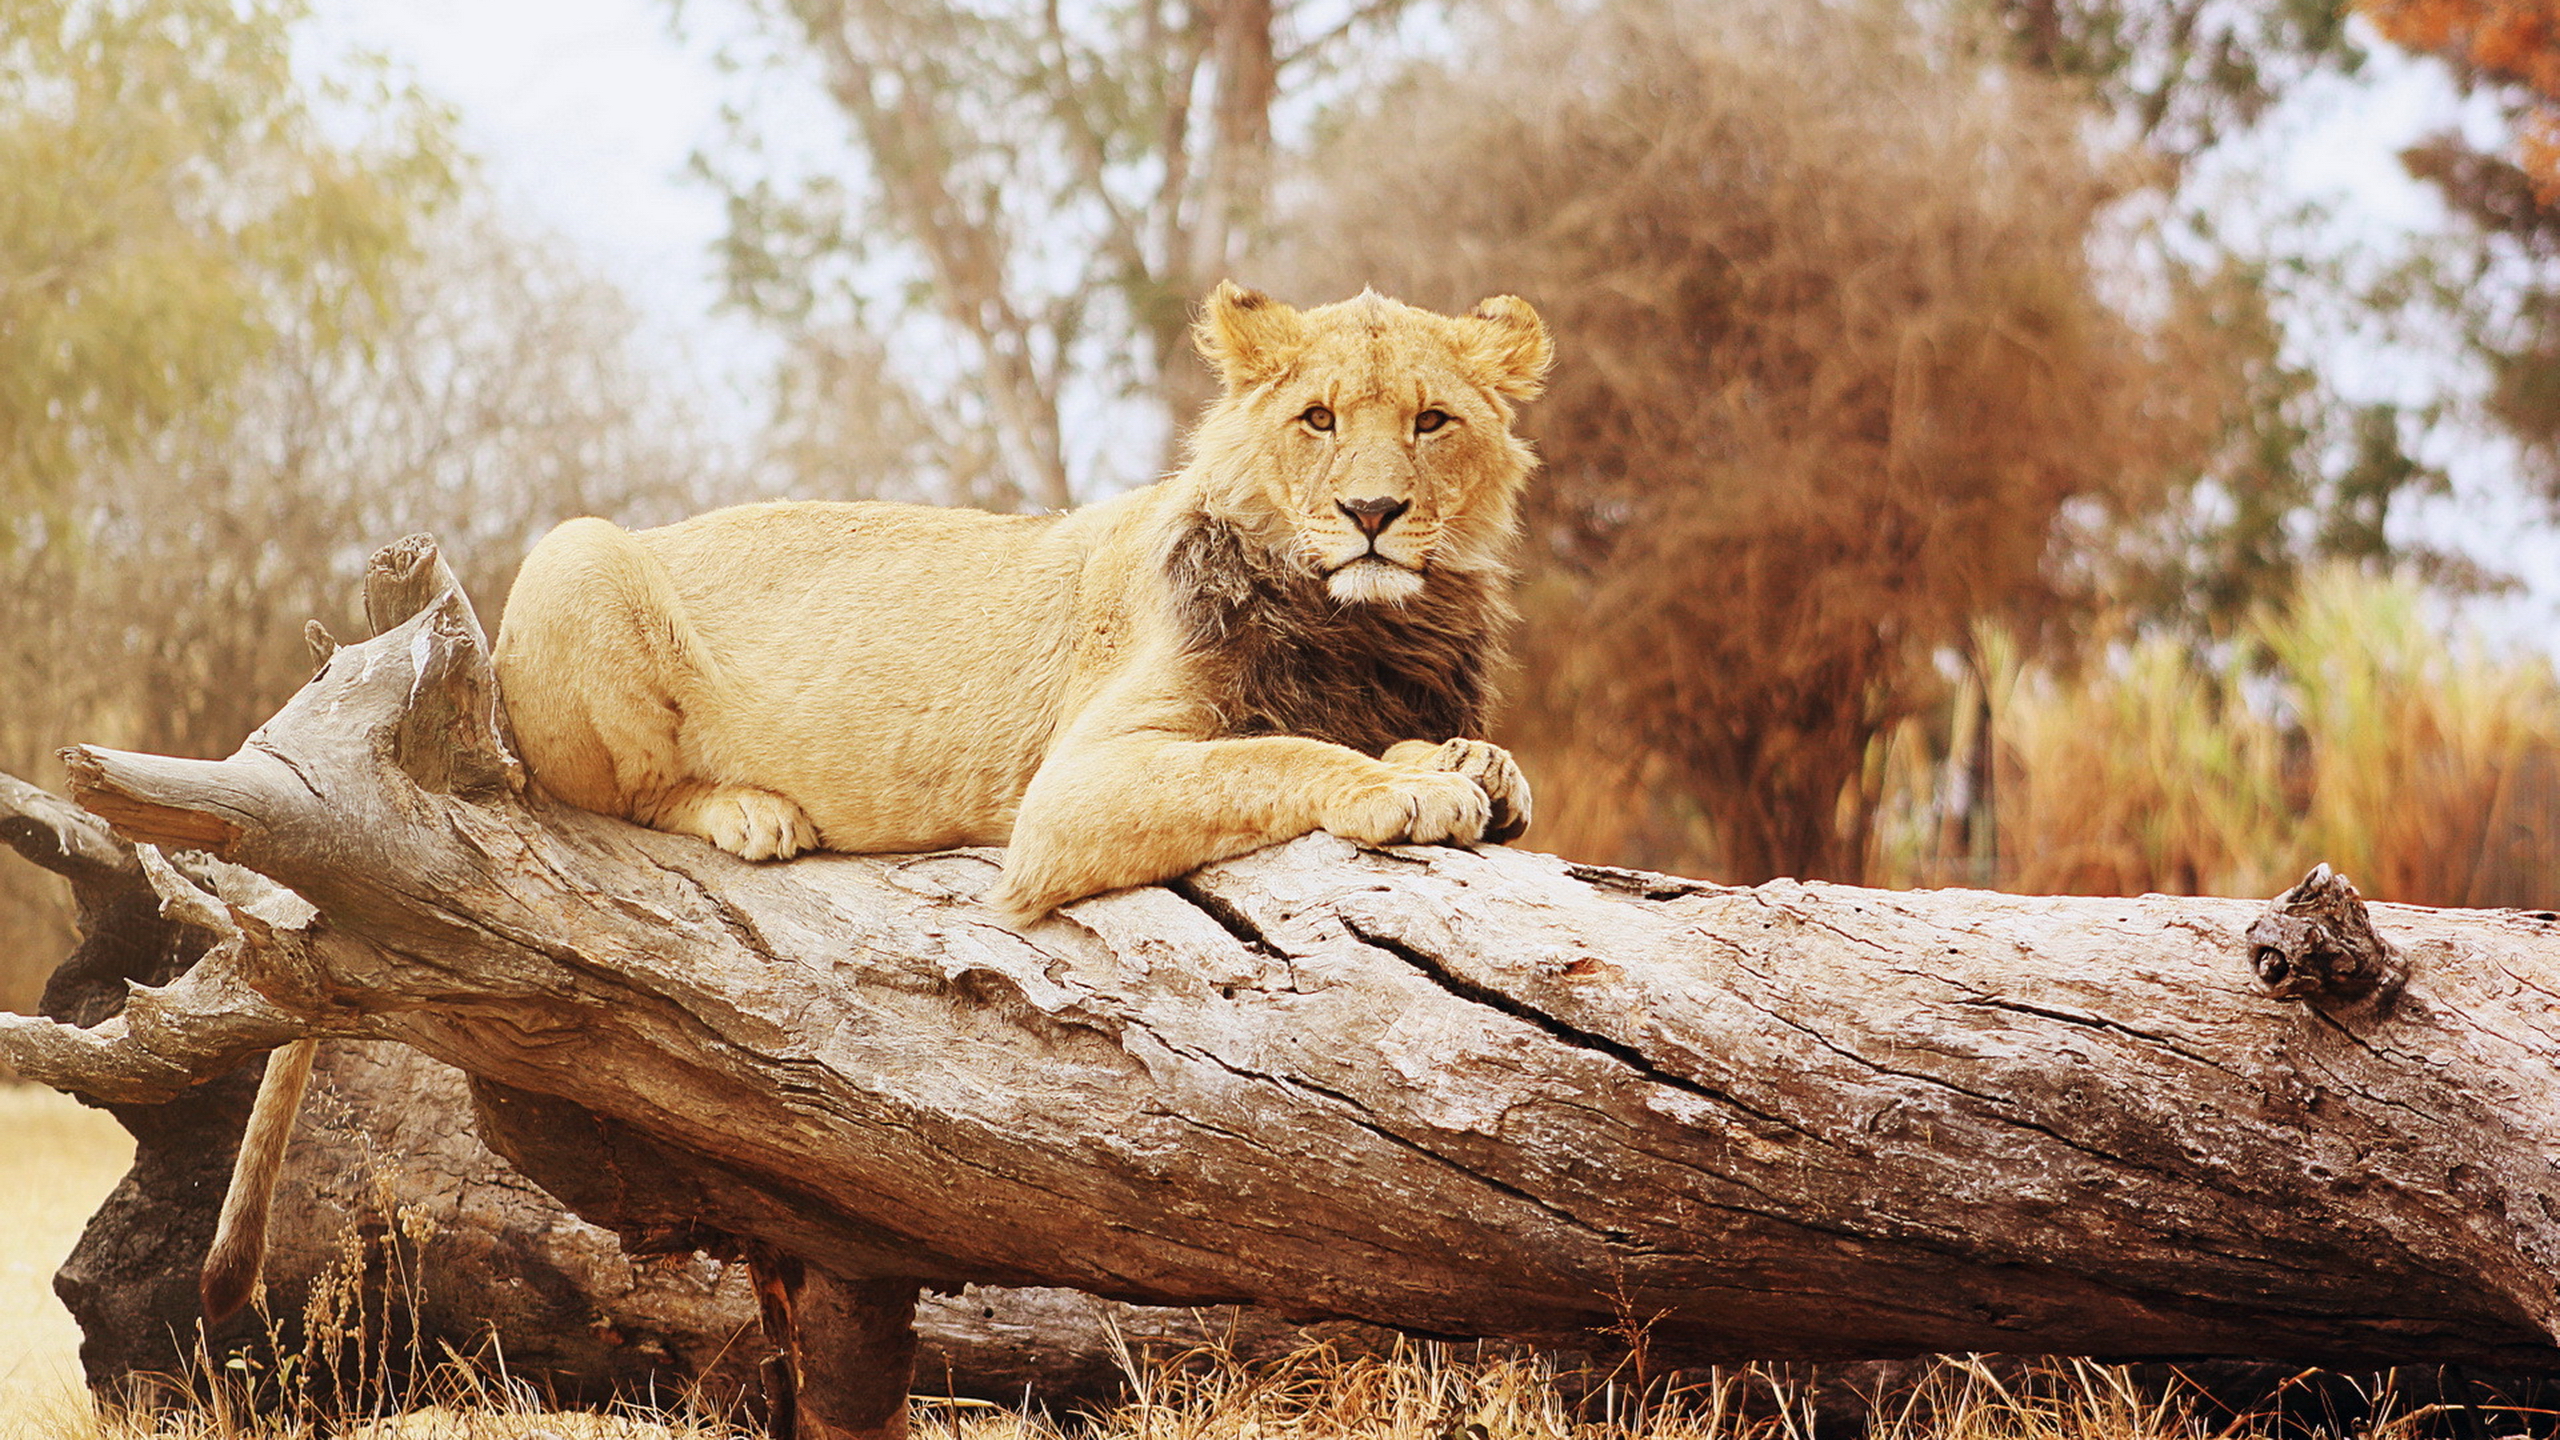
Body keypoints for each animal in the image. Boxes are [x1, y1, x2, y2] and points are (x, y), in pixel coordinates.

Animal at [488, 278, 1546, 907]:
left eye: (1432, 421)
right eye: (1317, 419)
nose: (1372, 510)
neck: (1367, 627)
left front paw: (1473, 761)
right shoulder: (1067, 794)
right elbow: (1273, 753)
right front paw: (1410, 788)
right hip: (577, 553)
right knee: (625, 799)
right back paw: (753, 812)